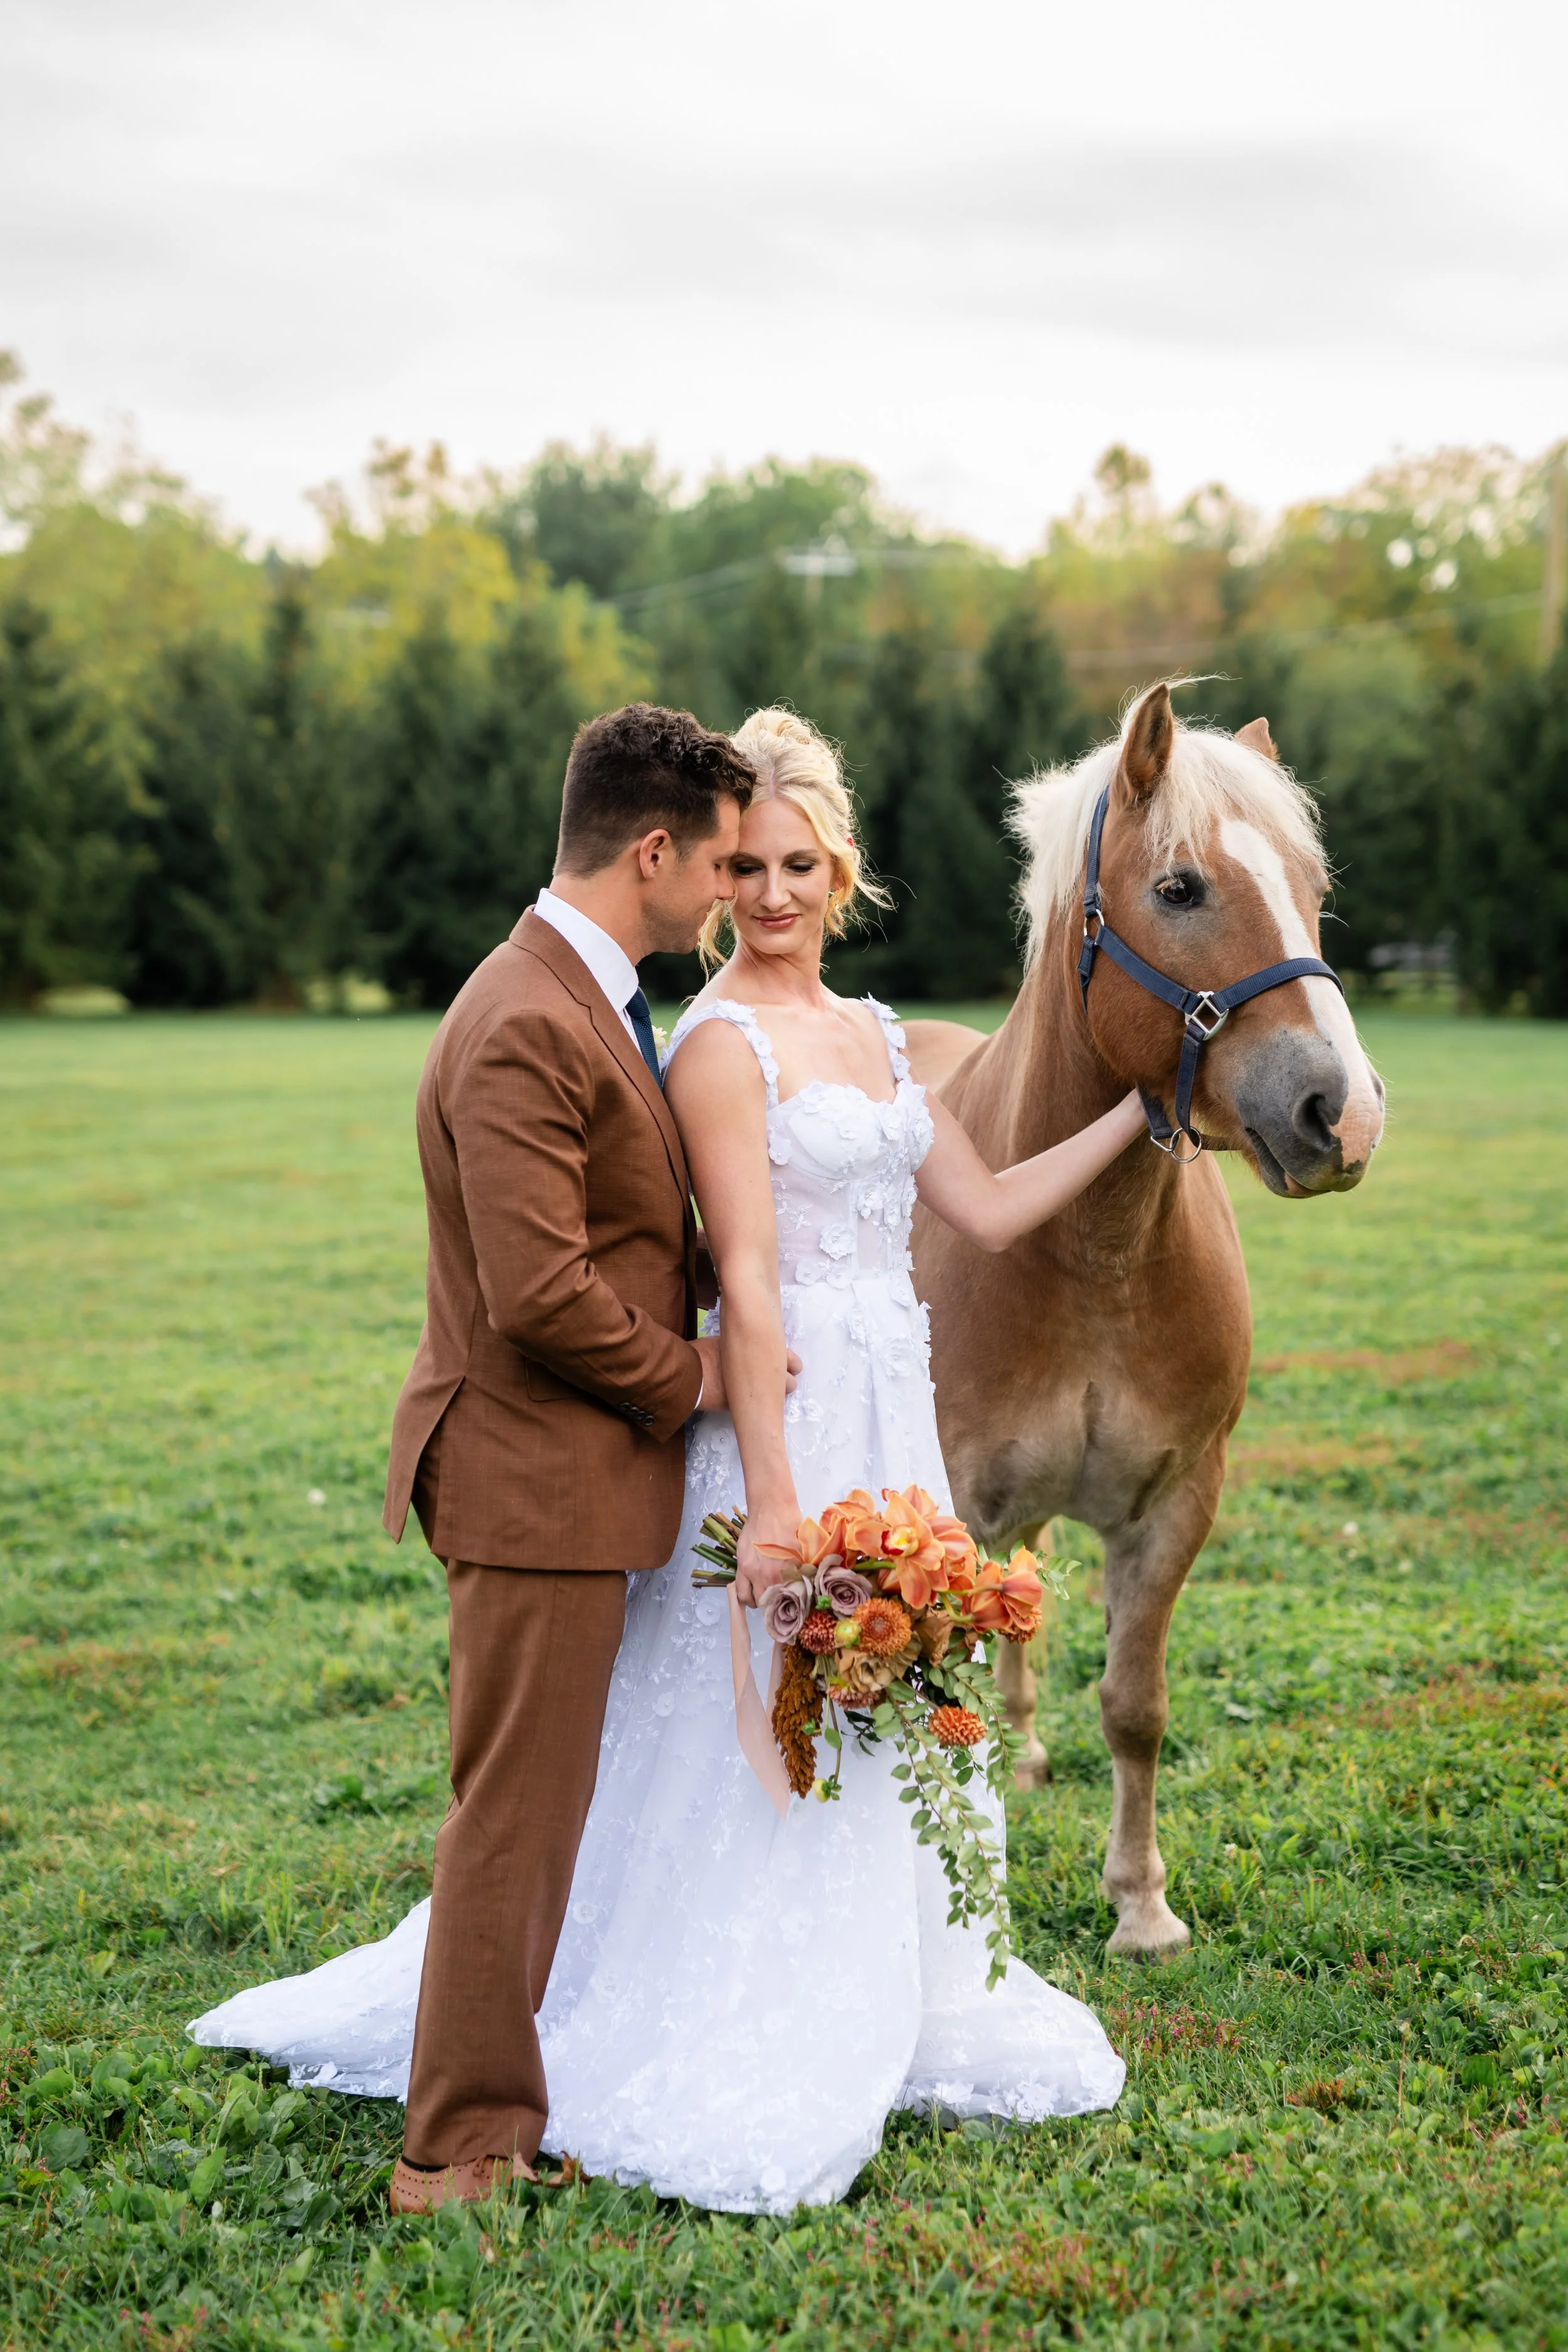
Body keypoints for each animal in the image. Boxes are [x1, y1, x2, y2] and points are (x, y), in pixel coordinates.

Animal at [908, 682, 1385, 1954]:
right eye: (1179, 888)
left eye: (1312, 886)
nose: (1345, 1111)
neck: (1091, 1251)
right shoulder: (953, 1506)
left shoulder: (1175, 1505)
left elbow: (1134, 1705)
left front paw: (1141, 1904)